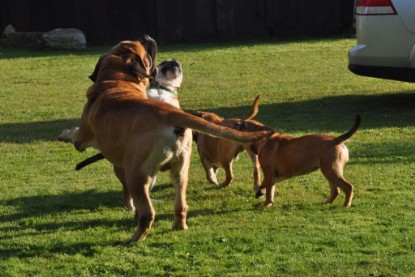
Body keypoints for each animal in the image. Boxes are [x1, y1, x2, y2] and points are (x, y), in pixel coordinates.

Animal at [62, 35, 272, 242]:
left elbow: (74, 134)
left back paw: (135, 238)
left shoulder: (82, 137)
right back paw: (179, 225)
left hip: (135, 174)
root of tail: (170, 113)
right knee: (179, 205)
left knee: (147, 212)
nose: (146, 37)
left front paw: (64, 134)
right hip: (180, 170)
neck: (117, 81)